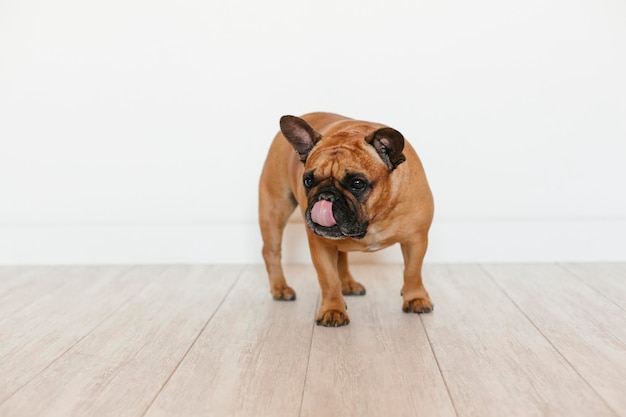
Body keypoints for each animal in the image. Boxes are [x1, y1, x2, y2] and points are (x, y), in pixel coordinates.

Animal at [258, 113, 434, 324]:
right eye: (307, 181)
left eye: (357, 183)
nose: (326, 195)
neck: (374, 219)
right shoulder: (321, 245)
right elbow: (328, 278)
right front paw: (333, 309)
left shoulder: (416, 239)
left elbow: (412, 271)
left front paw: (415, 298)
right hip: (275, 208)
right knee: (271, 252)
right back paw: (280, 288)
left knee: (341, 256)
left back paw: (348, 284)